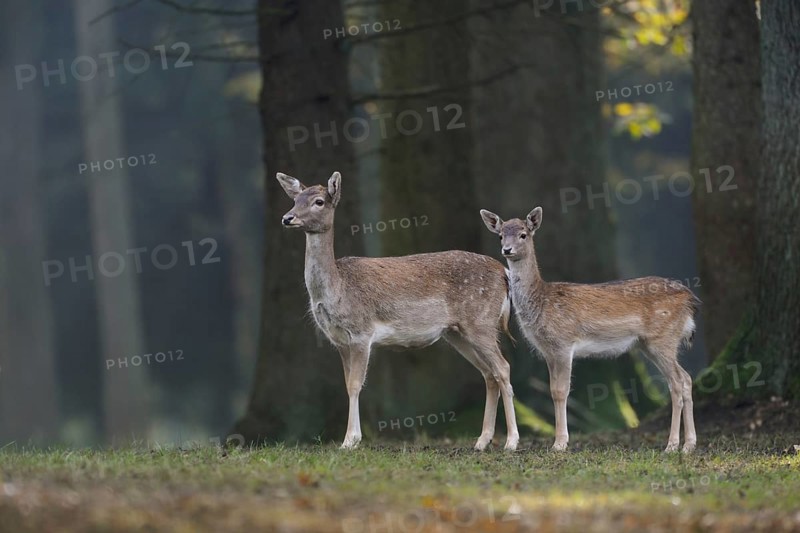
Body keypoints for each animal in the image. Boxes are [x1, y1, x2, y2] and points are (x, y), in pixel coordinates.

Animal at [276, 170, 520, 451]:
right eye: (295, 199)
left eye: (318, 201)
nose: (287, 217)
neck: (338, 288)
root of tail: (504, 273)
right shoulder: (339, 341)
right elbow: (347, 384)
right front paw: (351, 439)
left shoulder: (361, 333)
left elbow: (355, 385)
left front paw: (350, 440)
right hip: (457, 333)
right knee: (489, 373)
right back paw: (482, 441)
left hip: (481, 322)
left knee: (503, 368)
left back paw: (511, 441)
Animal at [480, 206, 699, 453]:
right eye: (500, 235)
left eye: (523, 234)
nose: (506, 249)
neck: (541, 302)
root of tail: (690, 301)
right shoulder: (548, 351)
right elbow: (552, 389)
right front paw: (559, 441)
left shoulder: (564, 344)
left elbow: (561, 391)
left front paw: (560, 443)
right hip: (649, 345)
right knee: (686, 378)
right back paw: (689, 445)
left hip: (663, 339)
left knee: (677, 383)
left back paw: (672, 445)